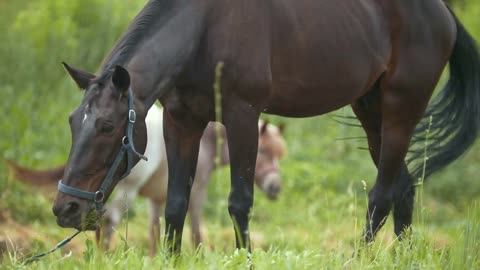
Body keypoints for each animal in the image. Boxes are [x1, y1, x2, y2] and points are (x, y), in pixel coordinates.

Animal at [51, 0, 480, 254]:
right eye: (73, 123)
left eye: (107, 126)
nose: (66, 209)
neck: (203, 29)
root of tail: (444, 14)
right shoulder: (181, 121)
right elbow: (176, 205)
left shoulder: (242, 116)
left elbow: (240, 203)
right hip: (370, 111)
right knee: (403, 188)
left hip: (401, 112)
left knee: (381, 195)